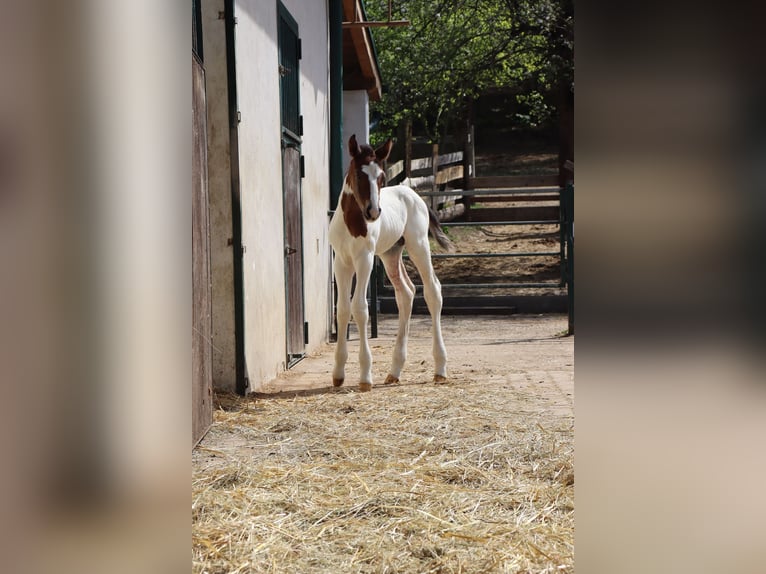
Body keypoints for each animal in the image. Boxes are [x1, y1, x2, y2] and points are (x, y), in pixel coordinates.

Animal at [328, 137, 452, 394]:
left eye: (381, 177)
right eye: (359, 173)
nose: (373, 212)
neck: (352, 222)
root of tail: (415, 195)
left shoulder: (364, 259)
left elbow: (360, 308)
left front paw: (365, 376)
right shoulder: (341, 262)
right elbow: (342, 309)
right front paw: (338, 374)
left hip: (418, 245)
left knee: (433, 291)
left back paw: (440, 369)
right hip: (391, 253)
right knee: (406, 292)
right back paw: (394, 371)